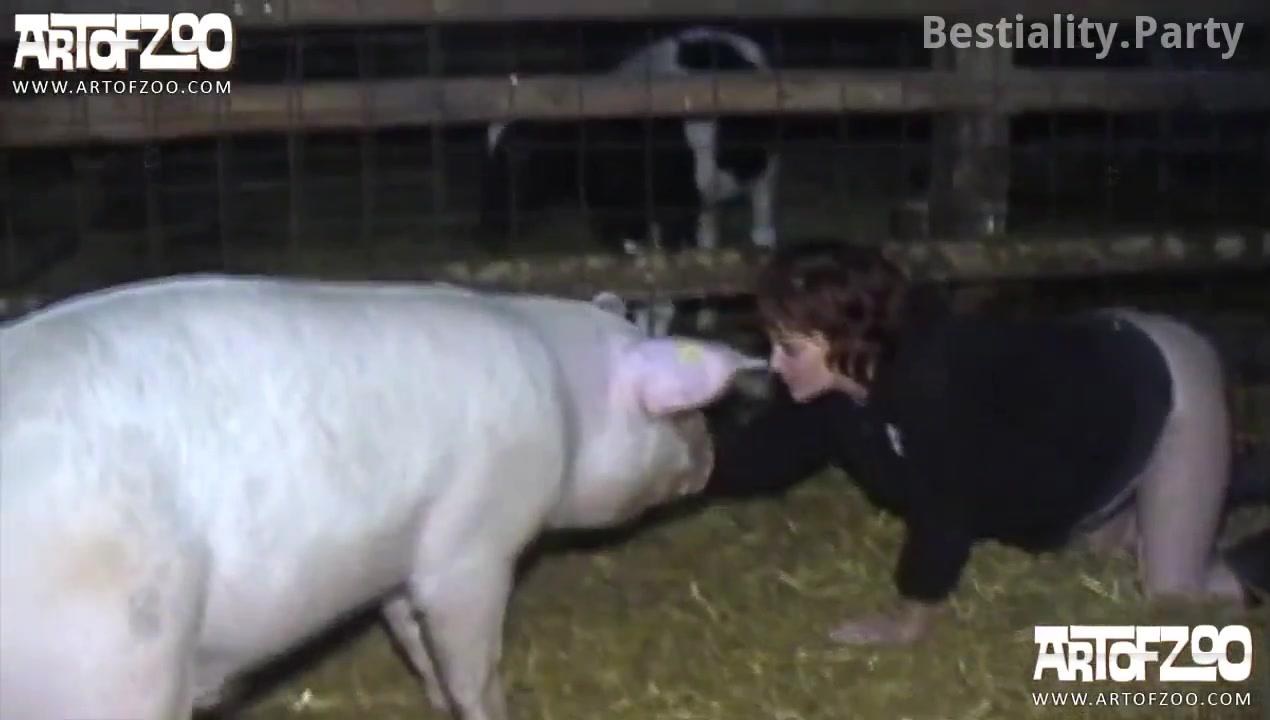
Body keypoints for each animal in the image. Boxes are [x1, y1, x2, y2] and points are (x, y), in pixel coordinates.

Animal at [0, 273, 767, 720]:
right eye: (673, 413)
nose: (712, 457)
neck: (567, 400)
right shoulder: (472, 546)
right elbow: (472, 665)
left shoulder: (404, 551)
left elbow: (412, 639)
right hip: (115, 659)